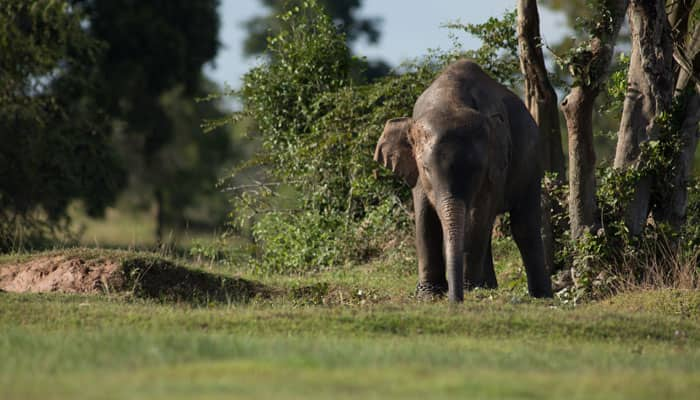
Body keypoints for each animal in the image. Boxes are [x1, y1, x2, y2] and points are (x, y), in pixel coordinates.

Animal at [374, 59, 548, 302]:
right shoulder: (417, 176)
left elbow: (479, 214)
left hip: (533, 164)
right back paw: (488, 287)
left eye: (477, 170)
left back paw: (540, 296)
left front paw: (468, 288)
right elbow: (425, 218)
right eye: (426, 168)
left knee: (524, 226)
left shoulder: (496, 168)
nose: (454, 300)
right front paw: (428, 295)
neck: (449, 100)